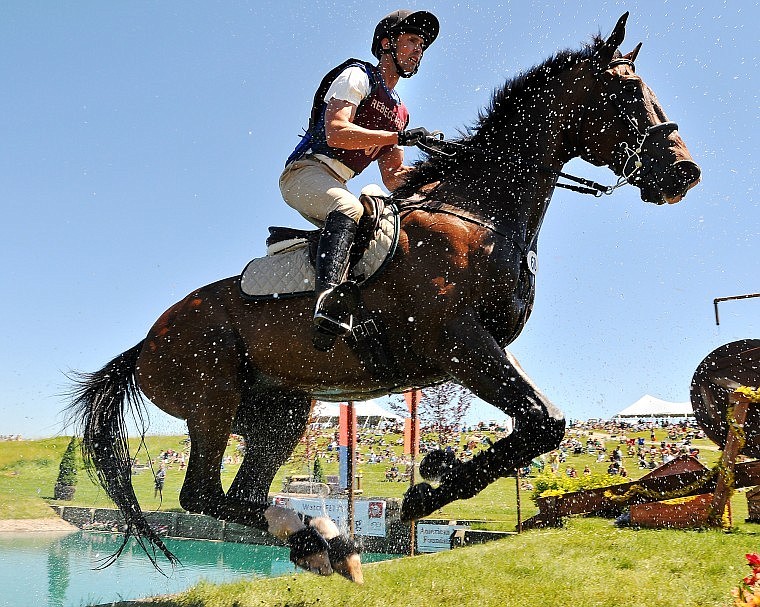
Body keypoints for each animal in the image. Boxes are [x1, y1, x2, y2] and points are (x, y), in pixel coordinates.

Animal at [67, 13, 700, 584]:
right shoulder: (460, 342)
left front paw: (435, 468)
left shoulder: (486, 346)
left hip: (281, 410)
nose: (684, 173)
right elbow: (546, 423)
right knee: (199, 493)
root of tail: (145, 342)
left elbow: (538, 425)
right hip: (212, 402)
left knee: (236, 492)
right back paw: (323, 536)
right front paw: (424, 492)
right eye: (627, 92)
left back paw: (321, 541)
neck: (481, 214)